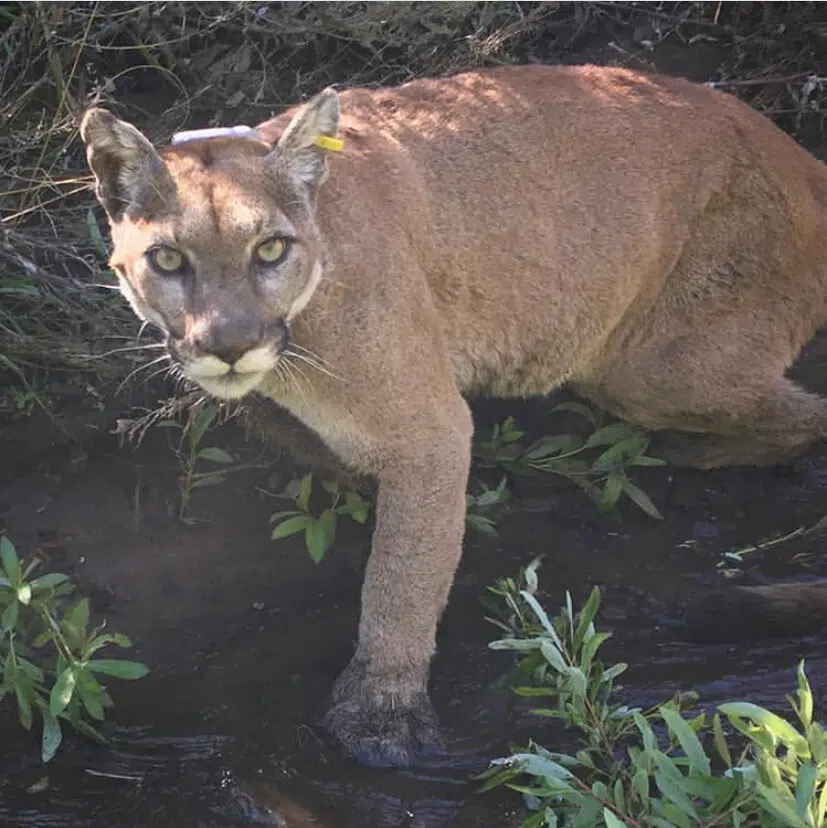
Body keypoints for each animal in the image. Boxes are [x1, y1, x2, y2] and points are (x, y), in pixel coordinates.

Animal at [81, 66, 827, 768]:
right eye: (167, 259)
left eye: (270, 249)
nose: (231, 346)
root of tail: (793, 151)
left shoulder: (430, 432)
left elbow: (401, 578)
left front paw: (381, 716)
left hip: (650, 370)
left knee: (804, 418)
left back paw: (699, 452)